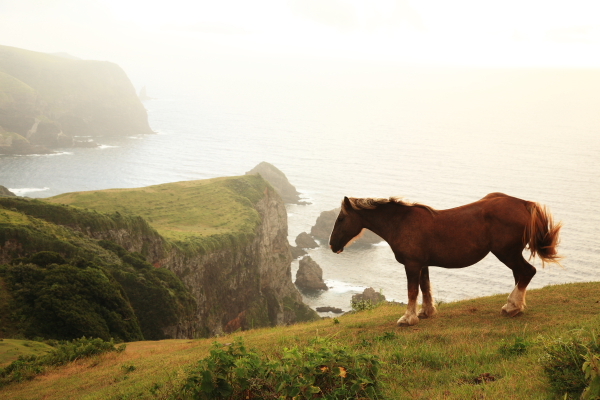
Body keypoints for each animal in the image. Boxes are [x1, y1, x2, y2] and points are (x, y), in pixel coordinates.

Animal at [328, 192, 564, 326]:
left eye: (341, 219)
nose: (332, 244)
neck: (401, 222)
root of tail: (524, 203)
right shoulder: (422, 264)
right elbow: (425, 288)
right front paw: (426, 312)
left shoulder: (412, 265)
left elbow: (412, 291)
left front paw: (408, 318)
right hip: (511, 253)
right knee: (520, 275)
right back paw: (514, 307)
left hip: (506, 252)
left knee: (526, 273)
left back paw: (511, 307)